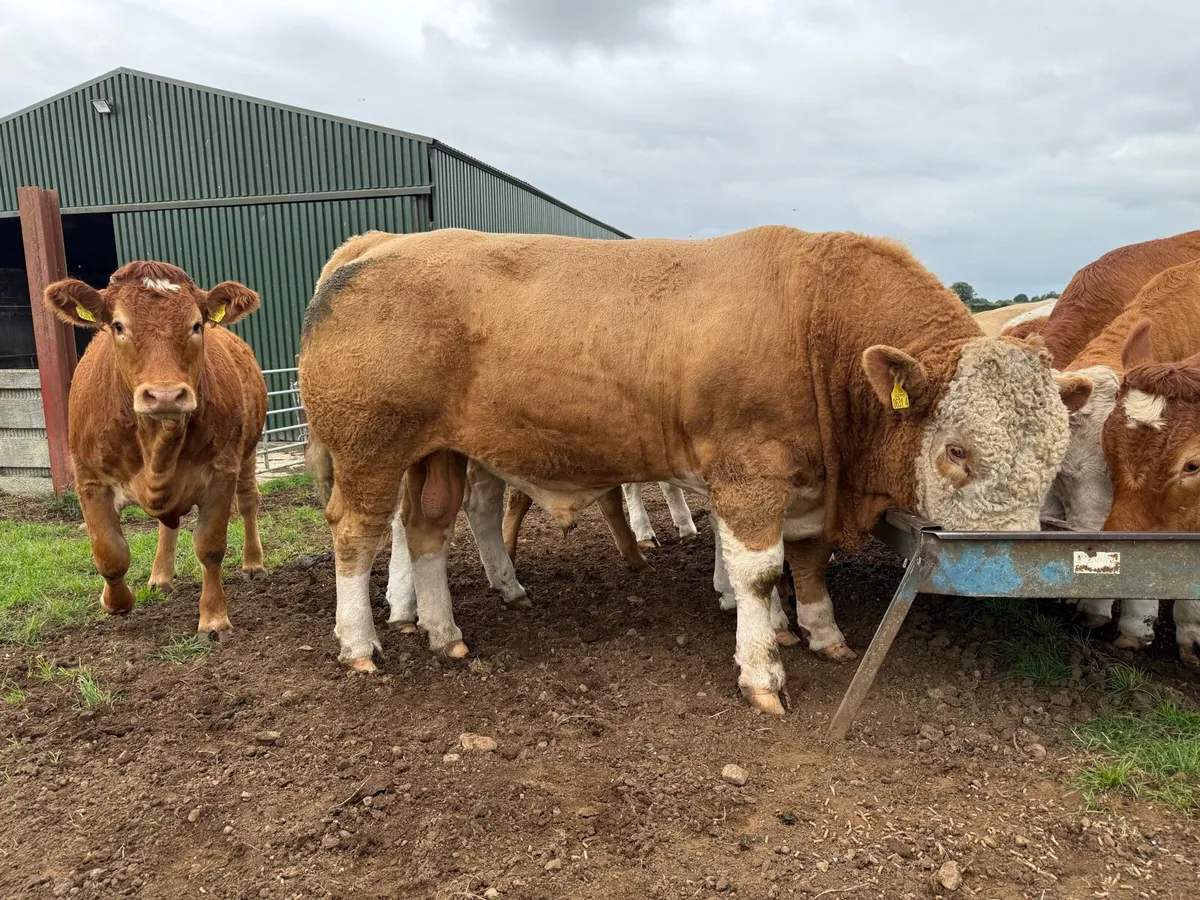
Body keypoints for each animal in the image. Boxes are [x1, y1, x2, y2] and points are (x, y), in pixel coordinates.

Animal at [44, 261, 267, 641]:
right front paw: (115, 602)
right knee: (167, 525)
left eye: (196, 324)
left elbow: (210, 546)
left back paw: (253, 562)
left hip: (249, 450)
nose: (165, 396)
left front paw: (213, 617)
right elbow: (109, 553)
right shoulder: (90, 480)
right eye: (118, 325)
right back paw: (161, 575)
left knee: (249, 499)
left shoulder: (221, 472)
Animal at [298, 226, 1086, 715]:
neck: (816, 321)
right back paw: (361, 643)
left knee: (428, 530)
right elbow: (761, 574)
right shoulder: (750, 473)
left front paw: (824, 636)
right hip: (370, 448)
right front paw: (763, 670)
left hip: (439, 454)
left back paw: (444, 631)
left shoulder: (805, 481)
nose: (1014, 559)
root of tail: (370, 253)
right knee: (357, 535)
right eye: (957, 450)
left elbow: (809, 564)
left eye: (1055, 452)